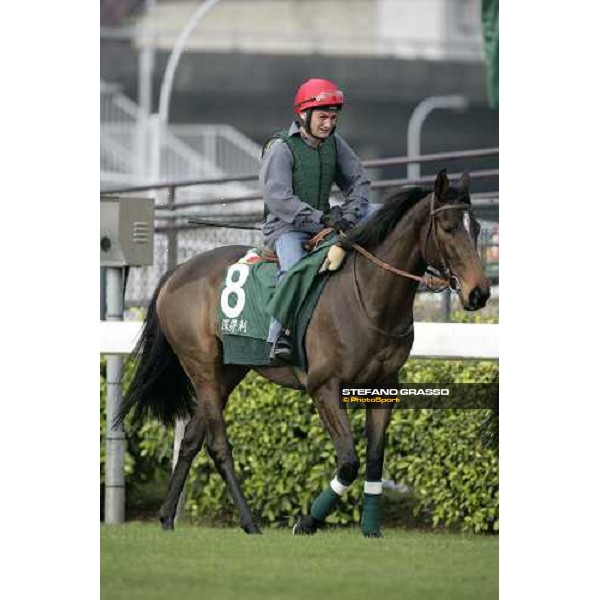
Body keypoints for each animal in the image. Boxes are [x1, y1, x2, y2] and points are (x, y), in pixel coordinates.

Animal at [116, 169, 488, 540]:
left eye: (477, 227)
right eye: (448, 228)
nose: (479, 293)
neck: (368, 299)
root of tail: (175, 272)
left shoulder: (384, 388)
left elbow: (374, 460)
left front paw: (370, 529)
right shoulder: (324, 387)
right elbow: (349, 462)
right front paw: (307, 521)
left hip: (229, 371)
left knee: (192, 438)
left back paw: (167, 516)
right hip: (202, 366)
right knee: (218, 445)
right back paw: (249, 521)